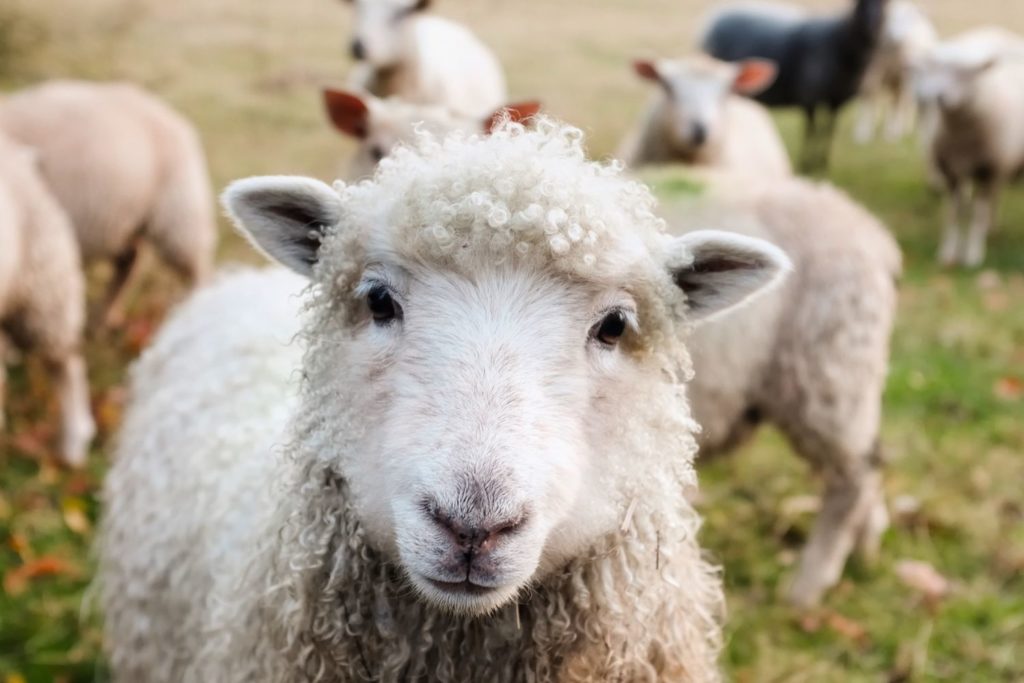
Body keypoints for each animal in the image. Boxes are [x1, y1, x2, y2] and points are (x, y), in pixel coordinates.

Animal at [0, 80, 216, 327]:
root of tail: (172, 116)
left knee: (197, 266)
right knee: (129, 262)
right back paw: (106, 317)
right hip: (125, 218)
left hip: (179, 213)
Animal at [701, 0, 888, 172]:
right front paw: (807, 163)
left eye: (884, 4)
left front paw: (823, 162)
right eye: (859, 4)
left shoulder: (836, 101)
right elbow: (811, 131)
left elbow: (828, 131)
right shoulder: (809, 97)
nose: (871, 25)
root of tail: (717, 14)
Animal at [913, 27, 1024, 267]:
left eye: (966, 73)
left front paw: (973, 254)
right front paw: (948, 253)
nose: (939, 97)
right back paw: (992, 228)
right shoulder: (950, 171)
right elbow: (954, 212)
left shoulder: (988, 170)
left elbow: (977, 214)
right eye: (936, 69)